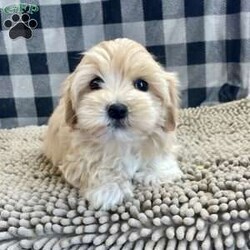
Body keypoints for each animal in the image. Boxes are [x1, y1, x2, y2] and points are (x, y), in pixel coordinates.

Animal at [43, 37, 182, 209]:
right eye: (94, 83)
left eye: (142, 84)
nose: (117, 109)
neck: (122, 143)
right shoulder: (77, 159)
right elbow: (95, 167)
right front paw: (109, 188)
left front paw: (156, 171)